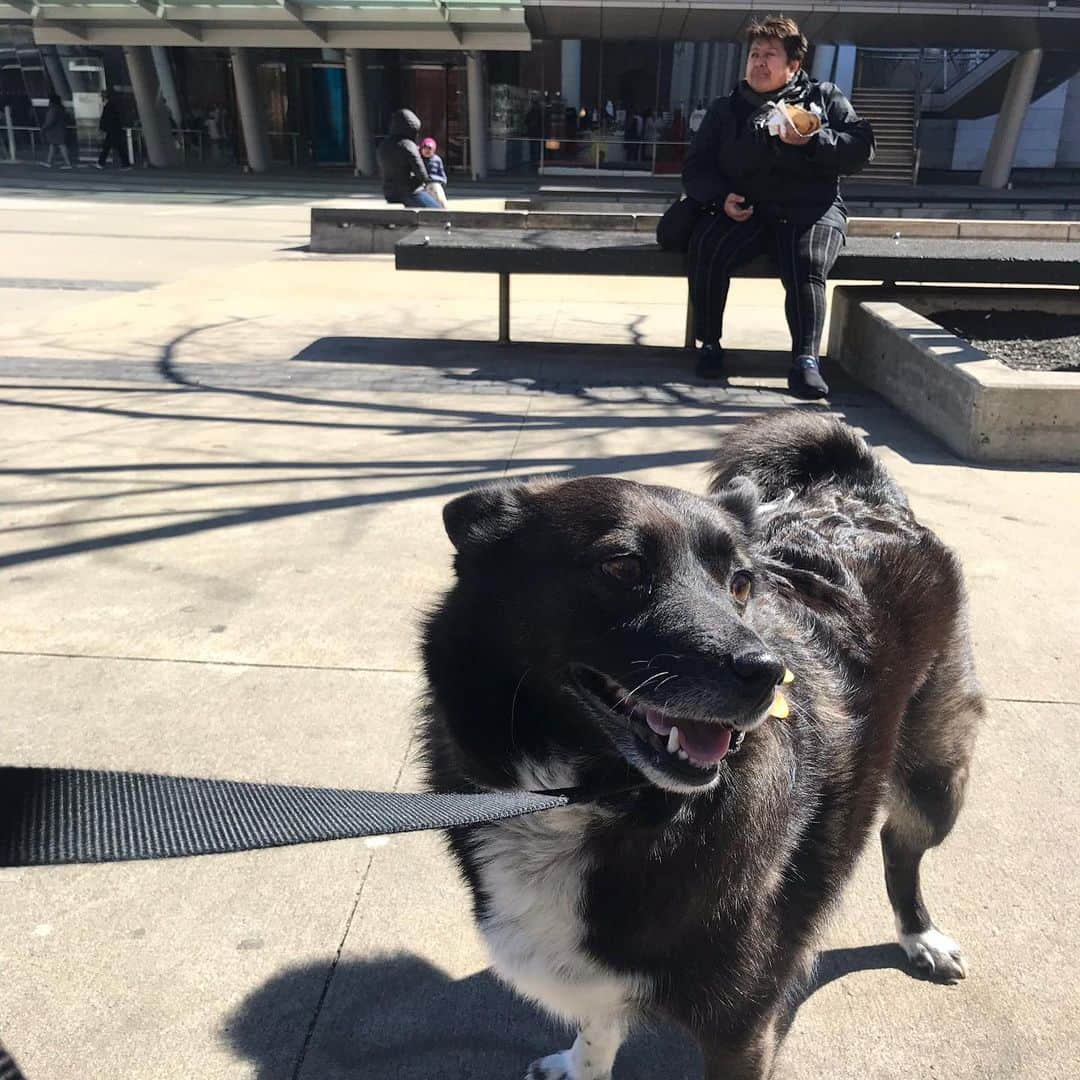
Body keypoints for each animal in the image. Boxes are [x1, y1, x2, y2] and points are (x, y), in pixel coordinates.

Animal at [416, 414, 984, 1080]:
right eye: (621, 567)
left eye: (741, 583)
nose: (768, 674)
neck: (589, 796)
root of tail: (864, 494)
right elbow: (597, 1030)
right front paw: (581, 1063)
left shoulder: (743, 1031)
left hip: (934, 782)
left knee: (901, 848)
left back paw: (921, 936)